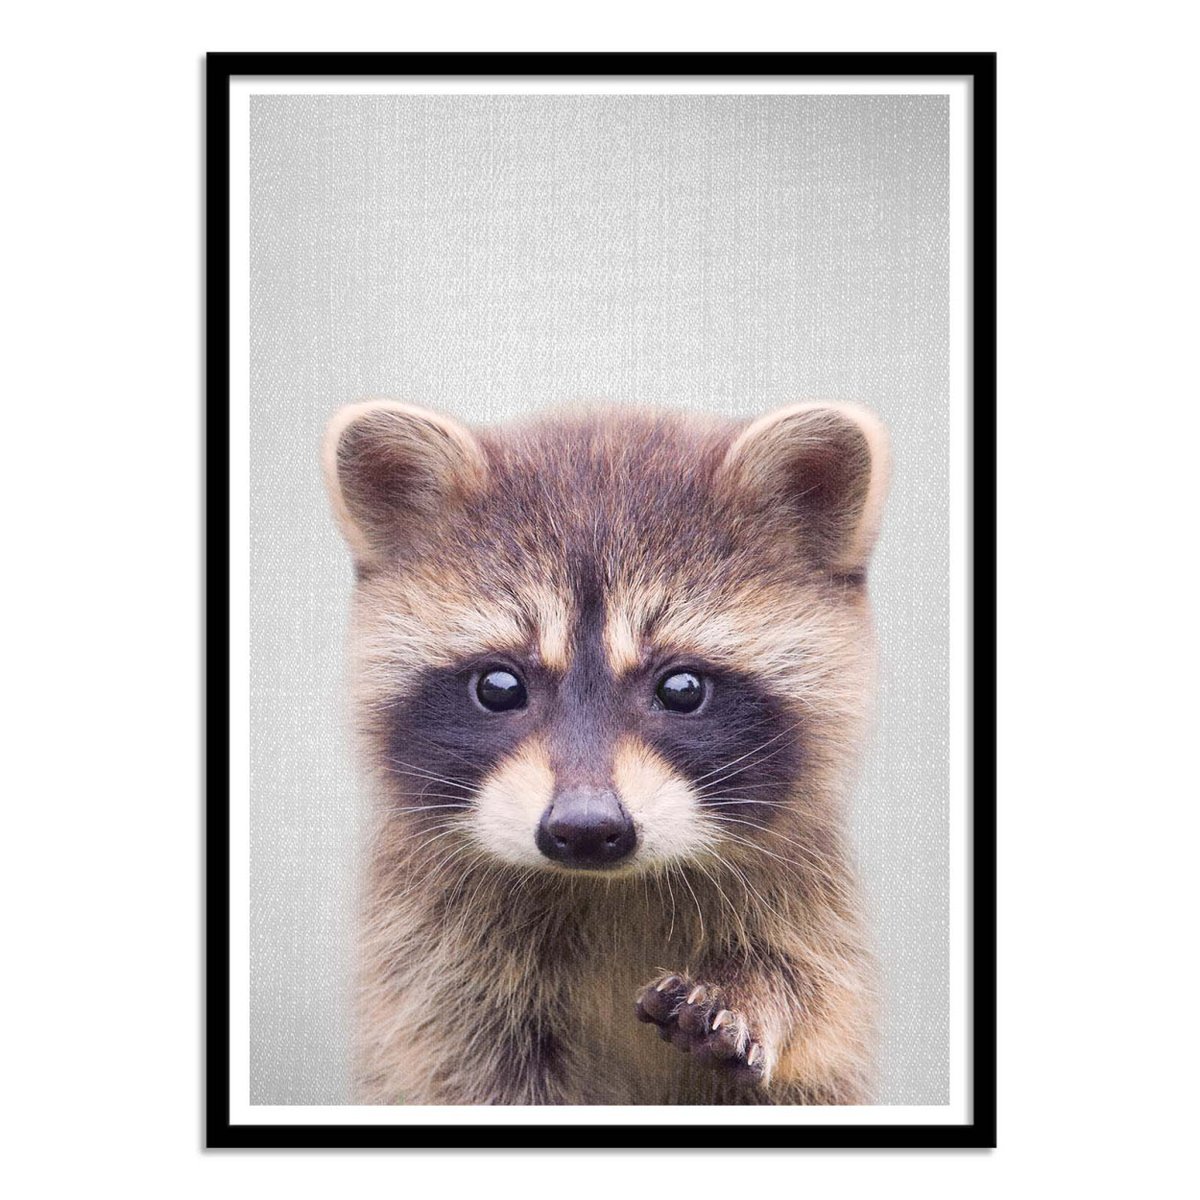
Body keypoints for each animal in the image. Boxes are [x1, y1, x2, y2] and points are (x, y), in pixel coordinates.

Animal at [322, 398, 889, 1105]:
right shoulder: (430, 958)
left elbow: (817, 993)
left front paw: (758, 995)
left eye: (682, 688)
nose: (586, 828)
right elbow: (458, 1063)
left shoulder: (809, 898)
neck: (606, 887)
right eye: (499, 686)